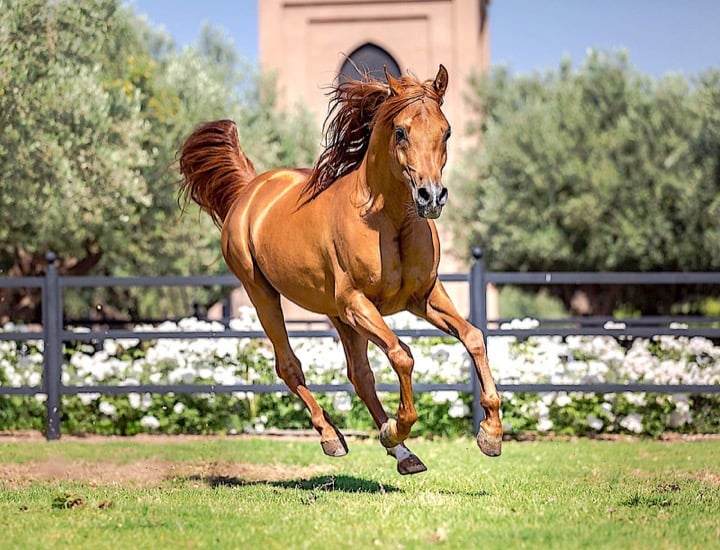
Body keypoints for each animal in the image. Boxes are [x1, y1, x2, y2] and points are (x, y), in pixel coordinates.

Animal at [178, 65, 502, 474]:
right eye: (401, 131)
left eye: (446, 131)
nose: (431, 196)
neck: (386, 219)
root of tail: (249, 190)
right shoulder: (357, 302)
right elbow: (402, 355)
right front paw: (398, 426)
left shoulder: (424, 296)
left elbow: (473, 336)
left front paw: (491, 434)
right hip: (263, 293)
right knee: (290, 366)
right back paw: (334, 437)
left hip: (336, 315)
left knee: (359, 374)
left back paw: (403, 454)